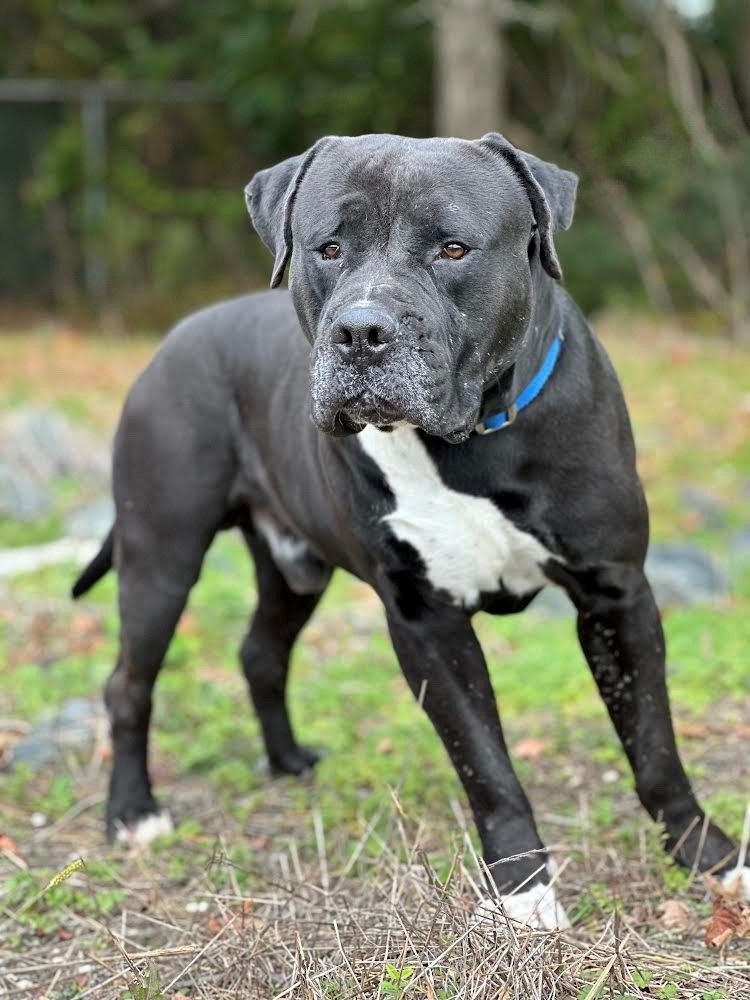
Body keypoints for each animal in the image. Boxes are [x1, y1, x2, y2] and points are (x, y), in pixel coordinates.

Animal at [72, 133, 750, 928]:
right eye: (329, 248)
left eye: (453, 248)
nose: (361, 331)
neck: (474, 439)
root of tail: (171, 341)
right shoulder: (427, 621)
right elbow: (485, 765)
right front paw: (524, 893)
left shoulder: (615, 596)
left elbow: (655, 745)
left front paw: (710, 858)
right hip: (162, 555)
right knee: (128, 684)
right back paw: (133, 813)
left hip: (291, 568)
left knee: (260, 651)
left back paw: (288, 762)